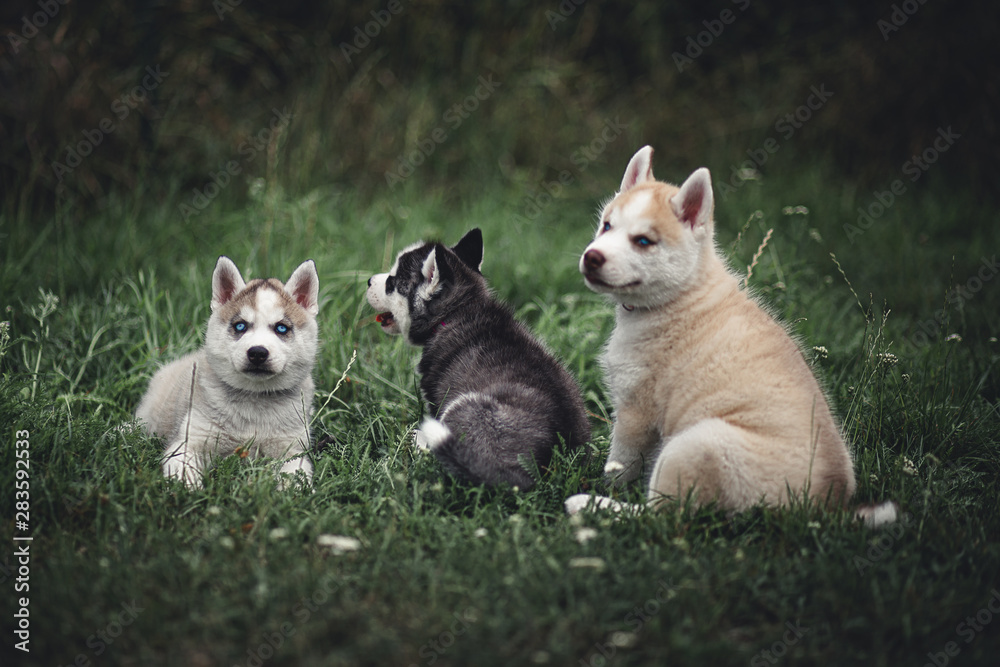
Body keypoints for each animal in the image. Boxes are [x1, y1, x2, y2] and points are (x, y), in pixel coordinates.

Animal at [135, 258, 318, 488]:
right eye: (240, 326)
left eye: (281, 328)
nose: (257, 353)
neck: (254, 403)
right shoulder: (187, 444)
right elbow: (185, 478)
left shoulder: (292, 452)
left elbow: (296, 480)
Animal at [568, 147, 896, 528]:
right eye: (607, 225)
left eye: (644, 241)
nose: (592, 257)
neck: (680, 295)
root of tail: (825, 508)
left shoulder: (636, 412)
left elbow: (619, 466)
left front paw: (601, 485)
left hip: (695, 443)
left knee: (660, 514)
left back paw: (588, 504)